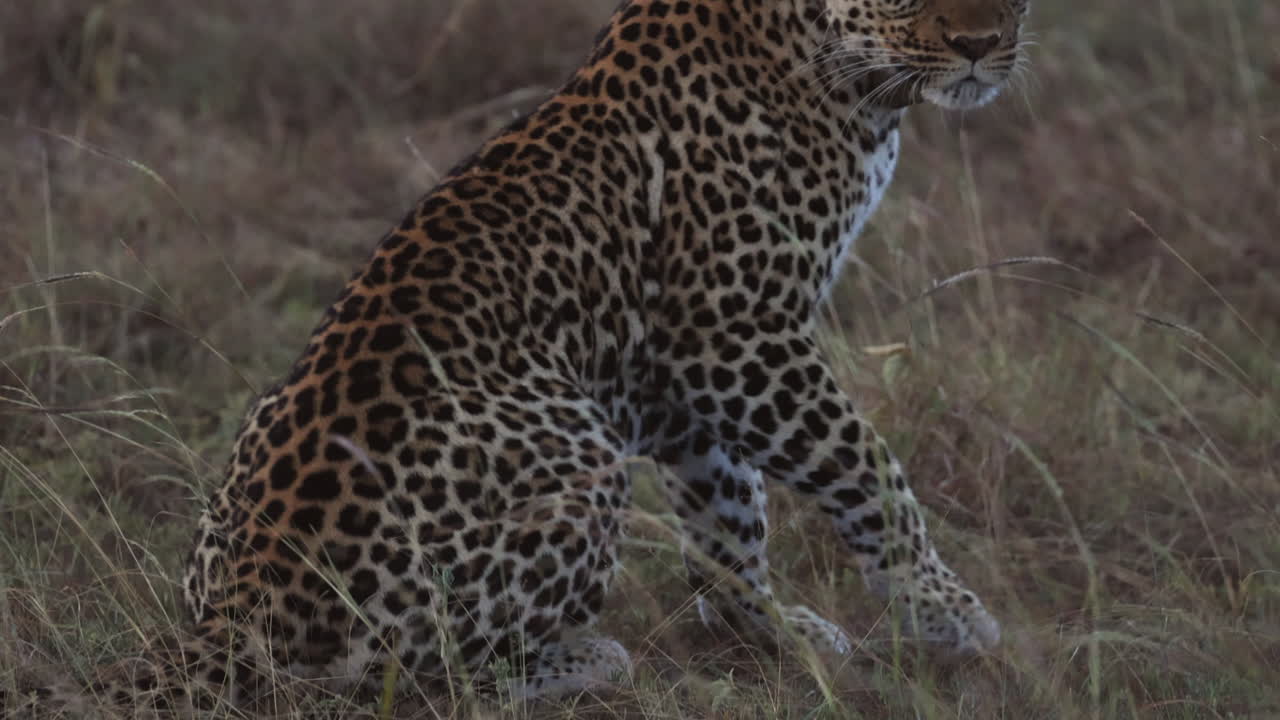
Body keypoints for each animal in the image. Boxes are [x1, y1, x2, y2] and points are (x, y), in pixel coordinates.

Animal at [11, 0, 1029, 714]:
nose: (984, 44)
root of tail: (234, 618)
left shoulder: (688, 378)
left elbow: (726, 520)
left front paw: (773, 631)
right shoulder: (733, 333)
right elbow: (867, 470)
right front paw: (948, 615)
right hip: (582, 468)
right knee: (401, 688)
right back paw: (584, 657)